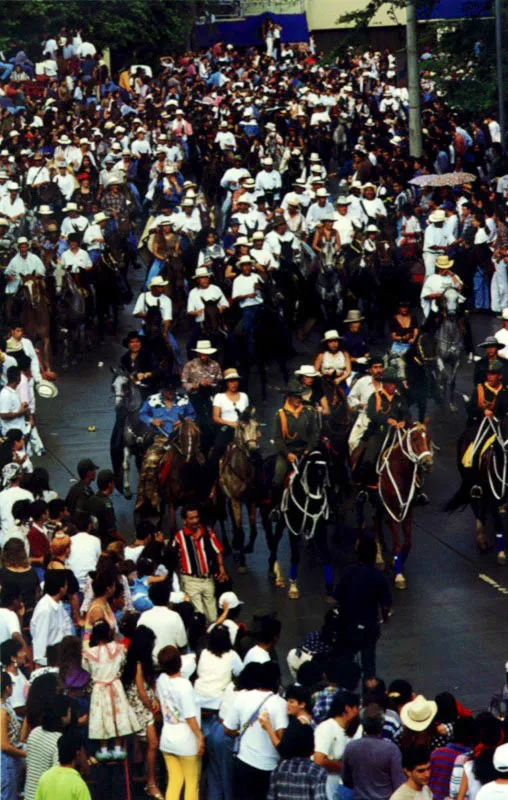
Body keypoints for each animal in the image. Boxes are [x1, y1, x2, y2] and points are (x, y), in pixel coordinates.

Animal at [218, 410, 262, 572]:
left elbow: (253, 529)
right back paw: (227, 546)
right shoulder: (236, 500)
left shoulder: (252, 500)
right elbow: (241, 531)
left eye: (257, 426)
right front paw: (242, 562)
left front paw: (248, 547)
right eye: (242, 427)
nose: (253, 450)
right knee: (222, 517)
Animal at [262, 450, 334, 600]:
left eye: (325, 470)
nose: (317, 502)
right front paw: (293, 587)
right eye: (312, 471)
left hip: (282, 523)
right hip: (265, 514)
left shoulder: (320, 529)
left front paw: (330, 588)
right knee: (271, 540)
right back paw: (273, 569)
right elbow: (295, 556)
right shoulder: (293, 528)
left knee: (275, 539)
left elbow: (326, 555)